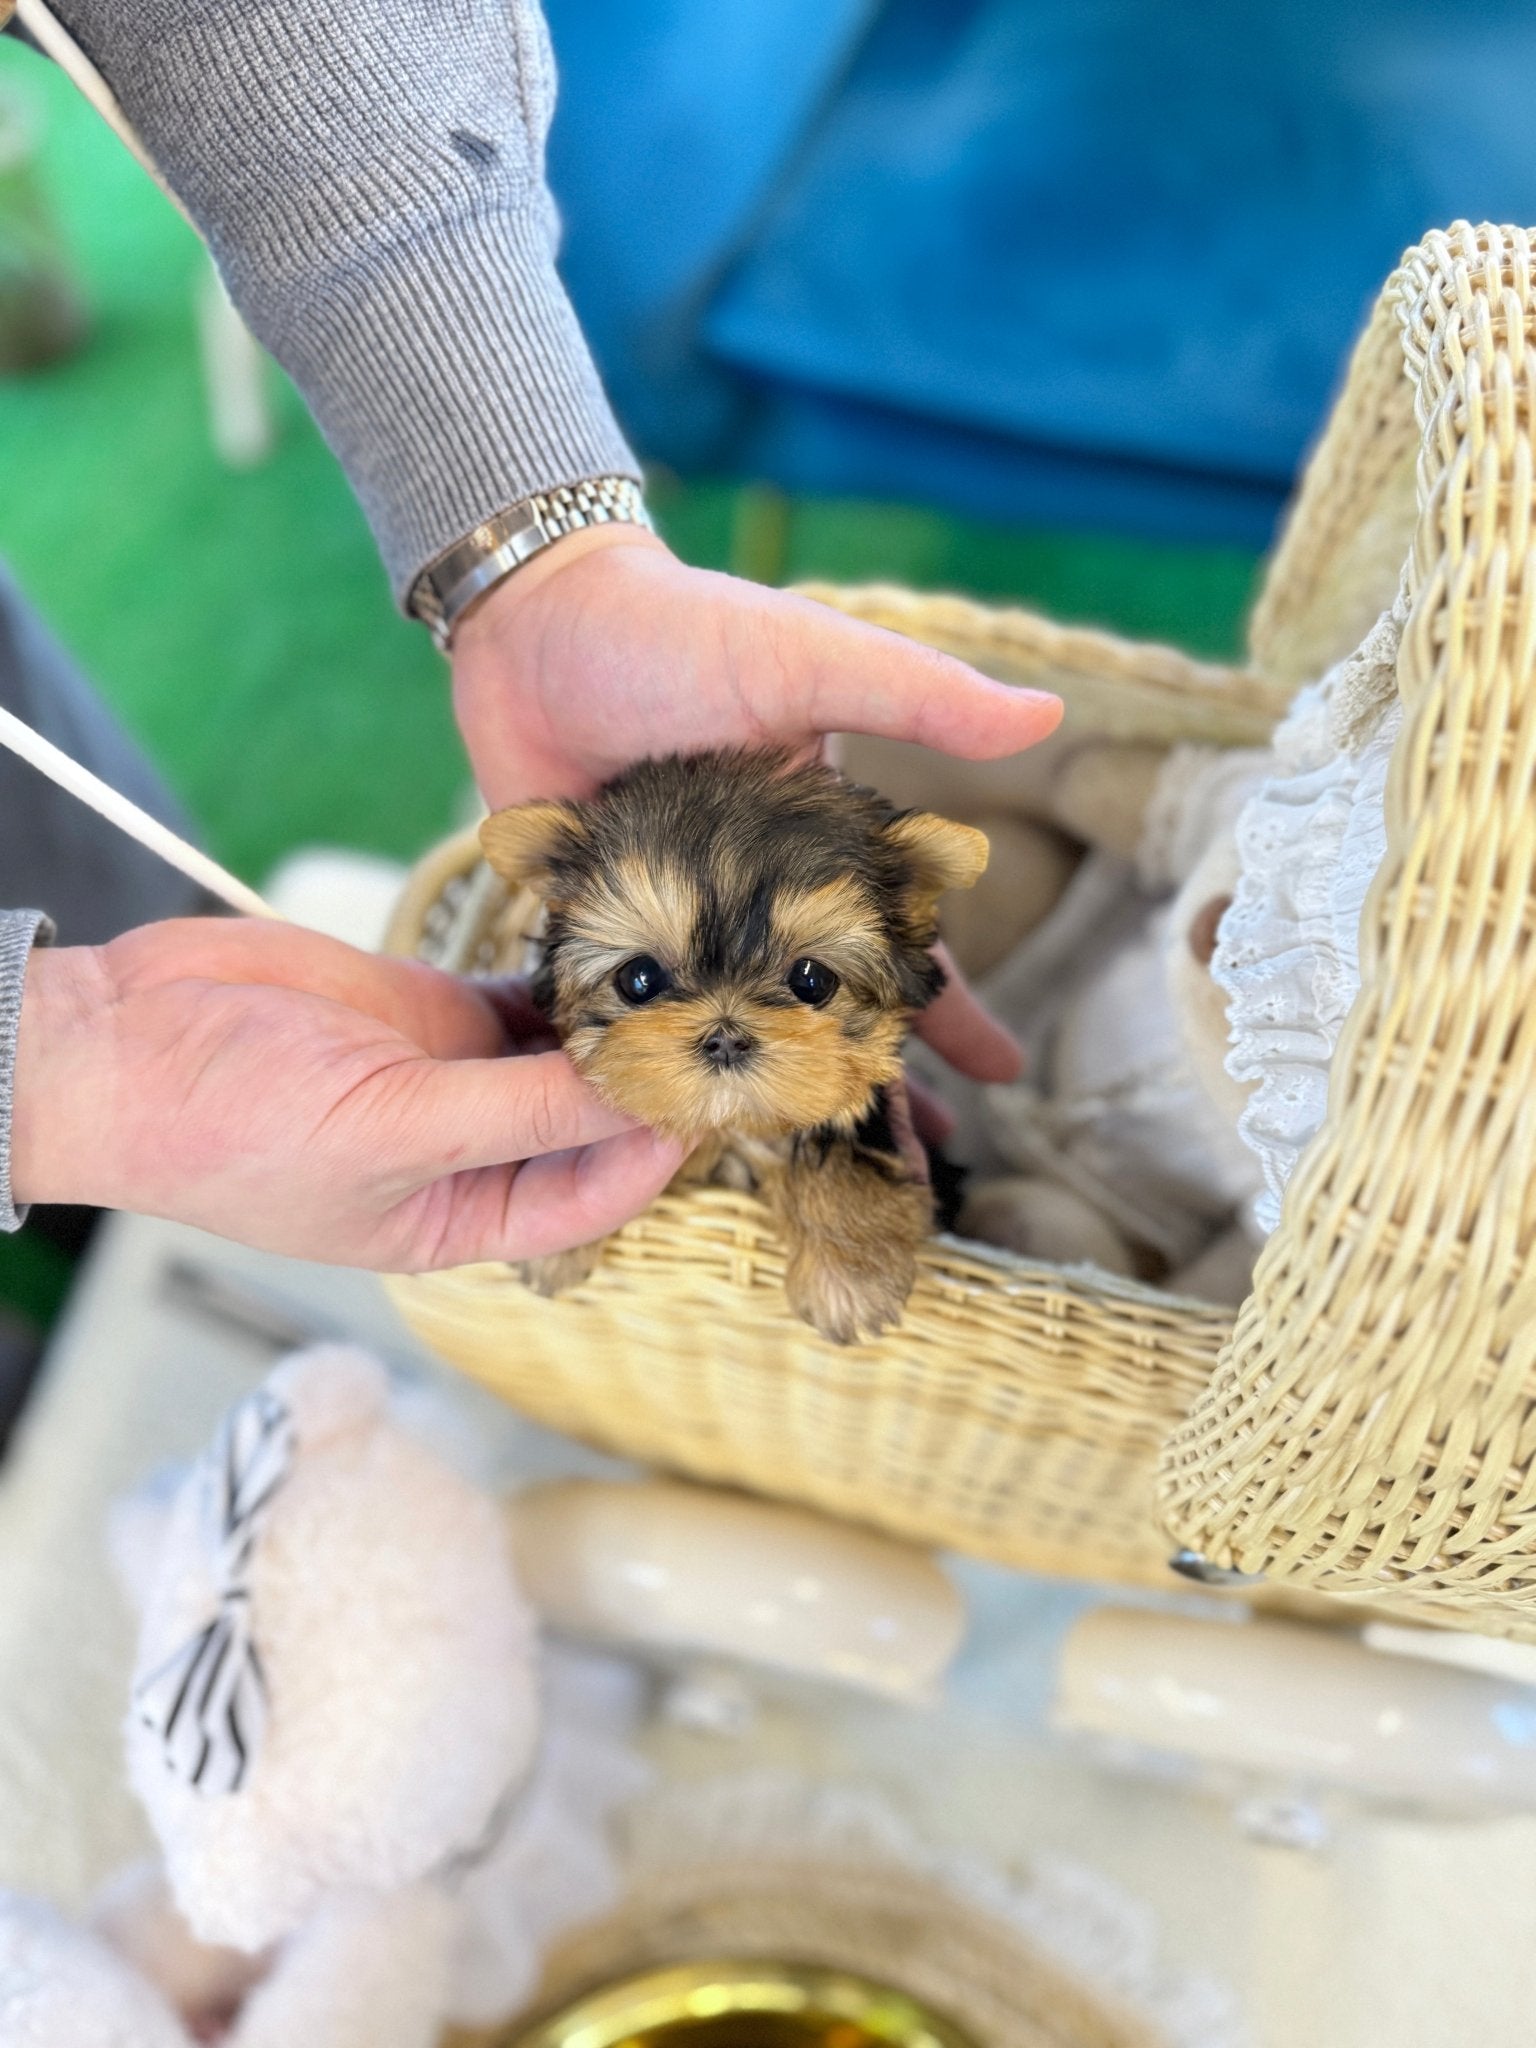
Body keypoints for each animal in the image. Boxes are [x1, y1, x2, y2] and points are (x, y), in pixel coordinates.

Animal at [481, 753, 987, 1343]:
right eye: (639, 979)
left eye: (812, 981)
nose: (724, 1037)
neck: (731, 1129)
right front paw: (558, 1235)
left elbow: (841, 1152)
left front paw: (849, 1277)